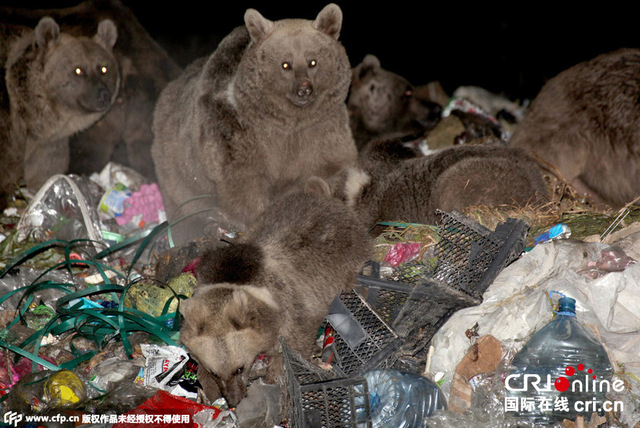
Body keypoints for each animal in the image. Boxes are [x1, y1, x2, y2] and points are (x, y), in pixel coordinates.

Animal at [0, 15, 120, 210]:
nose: (103, 95)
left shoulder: (47, 144)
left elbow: (45, 171)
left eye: (103, 68)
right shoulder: (8, 128)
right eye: (78, 70)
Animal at [152, 3, 358, 244]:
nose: (304, 89)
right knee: (186, 204)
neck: (288, 121)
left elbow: (331, 164)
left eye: (313, 61)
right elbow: (244, 185)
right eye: (285, 64)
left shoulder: (322, 127)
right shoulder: (236, 132)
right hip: (177, 166)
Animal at [178, 186, 372, 406]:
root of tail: (338, 206)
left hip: (351, 258)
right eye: (215, 373)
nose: (234, 401)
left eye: (239, 368)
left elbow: (289, 354)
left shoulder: (294, 310)